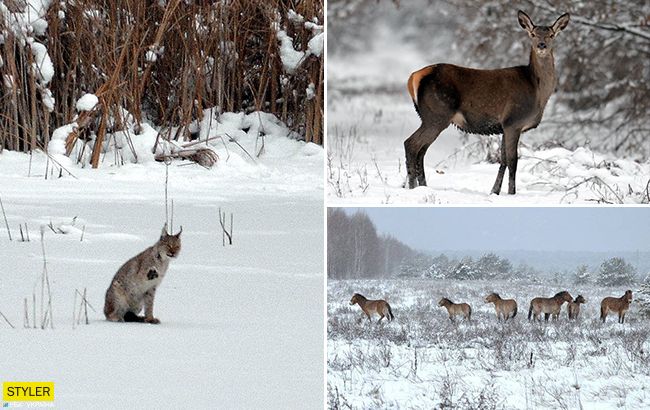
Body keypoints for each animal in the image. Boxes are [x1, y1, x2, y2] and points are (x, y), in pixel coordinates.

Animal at [404, 10, 568, 195]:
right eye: (532, 34)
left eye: (551, 35)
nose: (541, 45)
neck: (537, 91)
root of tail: (414, 77)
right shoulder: (514, 121)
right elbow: (513, 161)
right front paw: (512, 193)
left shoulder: (505, 125)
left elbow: (503, 160)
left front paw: (494, 191)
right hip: (437, 114)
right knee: (411, 144)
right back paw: (413, 187)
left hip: (430, 117)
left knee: (421, 150)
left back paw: (422, 186)